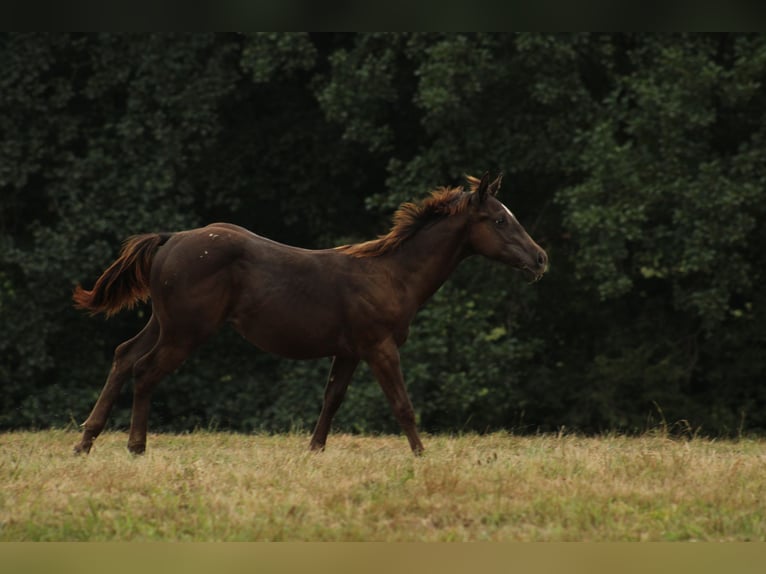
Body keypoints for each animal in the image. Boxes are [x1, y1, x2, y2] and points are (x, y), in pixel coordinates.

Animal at [72, 173, 548, 456]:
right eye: (500, 220)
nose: (541, 259)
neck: (391, 273)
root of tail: (170, 239)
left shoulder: (349, 351)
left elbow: (331, 400)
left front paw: (313, 452)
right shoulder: (379, 347)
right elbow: (402, 404)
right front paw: (421, 456)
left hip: (164, 322)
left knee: (124, 355)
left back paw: (85, 442)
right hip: (186, 331)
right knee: (146, 371)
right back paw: (136, 447)